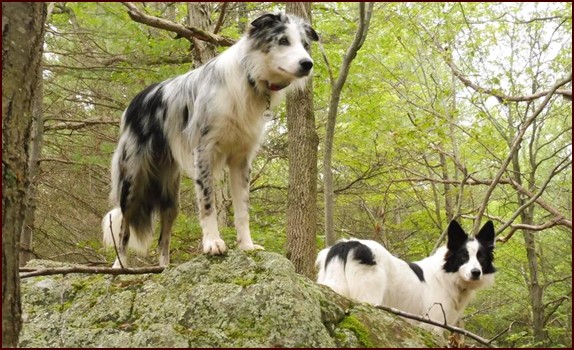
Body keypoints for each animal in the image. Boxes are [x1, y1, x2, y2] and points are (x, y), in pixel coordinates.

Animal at [102, 12, 320, 266]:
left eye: (305, 45)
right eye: (283, 40)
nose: (307, 63)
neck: (250, 78)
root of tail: (136, 102)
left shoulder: (241, 160)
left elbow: (242, 209)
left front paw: (246, 246)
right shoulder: (204, 152)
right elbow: (208, 204)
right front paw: (213, 243)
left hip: (170, 195)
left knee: (163, 238)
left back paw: (164, 268)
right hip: (133, 183)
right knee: (124, 229)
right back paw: (120, 266)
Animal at [318, 221, 498, 334]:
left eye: (481, 258)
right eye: (463, 257)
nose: (476, 272)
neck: (446, 275)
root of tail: (347, 244)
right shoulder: (433, 324)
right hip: (369, 297)